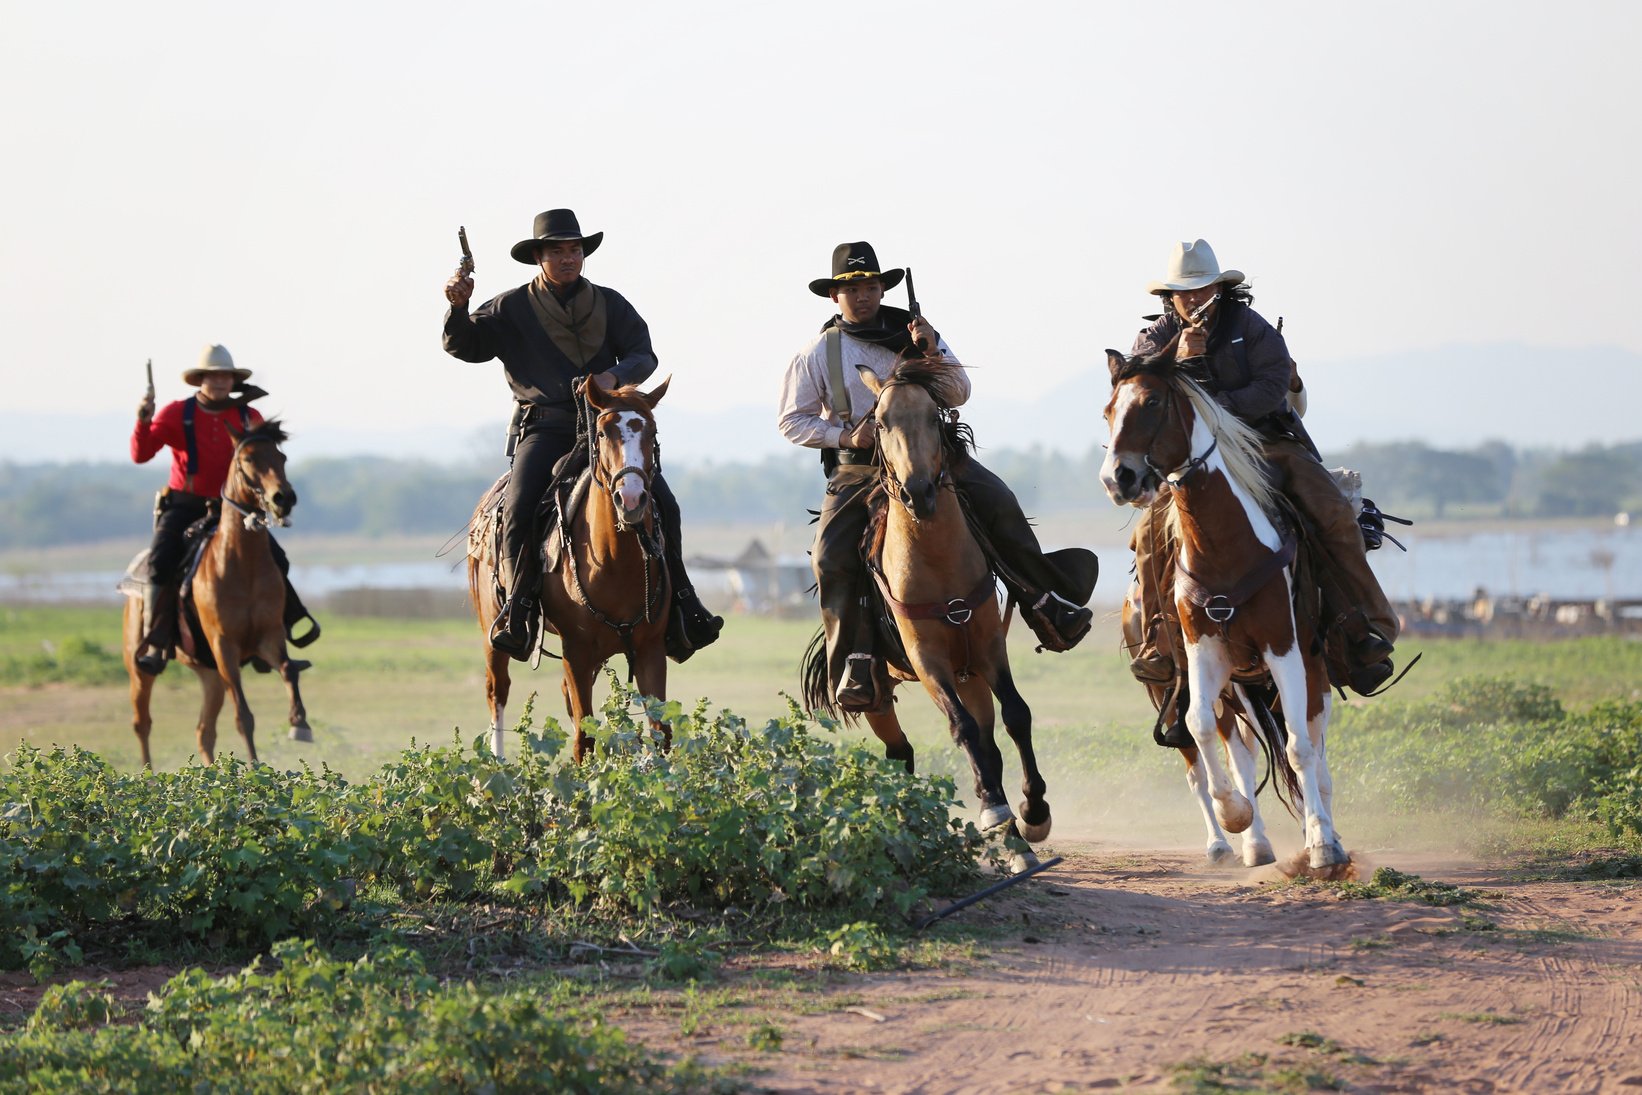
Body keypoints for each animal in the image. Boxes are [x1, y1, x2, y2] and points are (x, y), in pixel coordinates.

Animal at [119, 420, 311, 771]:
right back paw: (149, 775)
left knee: (203, 731)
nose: (283, 498)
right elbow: (244, 717)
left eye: (282, 456)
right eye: (248, 459)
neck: (241, 563)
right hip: (139, 668)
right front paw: (255, 767)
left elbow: (289, 670)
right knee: (142, 723)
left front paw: (299, 724)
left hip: (209, 674)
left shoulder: (269, 637)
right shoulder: (225, 648)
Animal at [466, 377, 669, 761]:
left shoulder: (651, 648)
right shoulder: (576, 650)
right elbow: (583, 740)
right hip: (492, 631)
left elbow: (661, 733)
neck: (615, 562)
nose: (631, 499)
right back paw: (497, 764)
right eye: (603, 432)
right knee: (496, 689)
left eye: (651, 431)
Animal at [798, 361, 1050, 866]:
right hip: (878, 687)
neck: (937, 559)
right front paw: (999, 812)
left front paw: (1033, 813)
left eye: (934, 417)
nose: (918, 493)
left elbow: (1016, 714)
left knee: (989, 744)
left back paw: (1012, 838)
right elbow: (961, 727)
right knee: (901, 749)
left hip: (970, 673)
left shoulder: (989, 647)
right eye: (879, 423)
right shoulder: (927, 659)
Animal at [1096, 351, 1339, 873]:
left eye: (1152, 402)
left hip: (1309, 671)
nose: (1116, 478)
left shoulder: (1284, 650)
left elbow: (1300, 748)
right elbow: (1200, 728)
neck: (1225, 547)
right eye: (1108, 410)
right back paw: (1245, 843)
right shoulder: (1203, 656)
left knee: (1314, 748)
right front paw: (1235, 815)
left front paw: (1322, 845)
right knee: (1230, 755)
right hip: (1219, 685)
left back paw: (1324, 833)